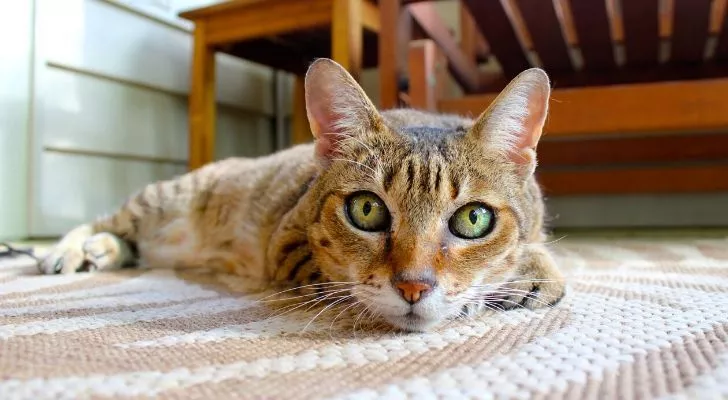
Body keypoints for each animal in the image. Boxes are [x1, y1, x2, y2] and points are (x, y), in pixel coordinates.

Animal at [37, 56, 564, 332]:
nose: (414, 287)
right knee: (105, 221)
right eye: (366, 209)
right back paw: (69, 251)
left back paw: (103, 253)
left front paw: (527, 275)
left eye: (473, 219)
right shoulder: (286, 246)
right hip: (164, 197)